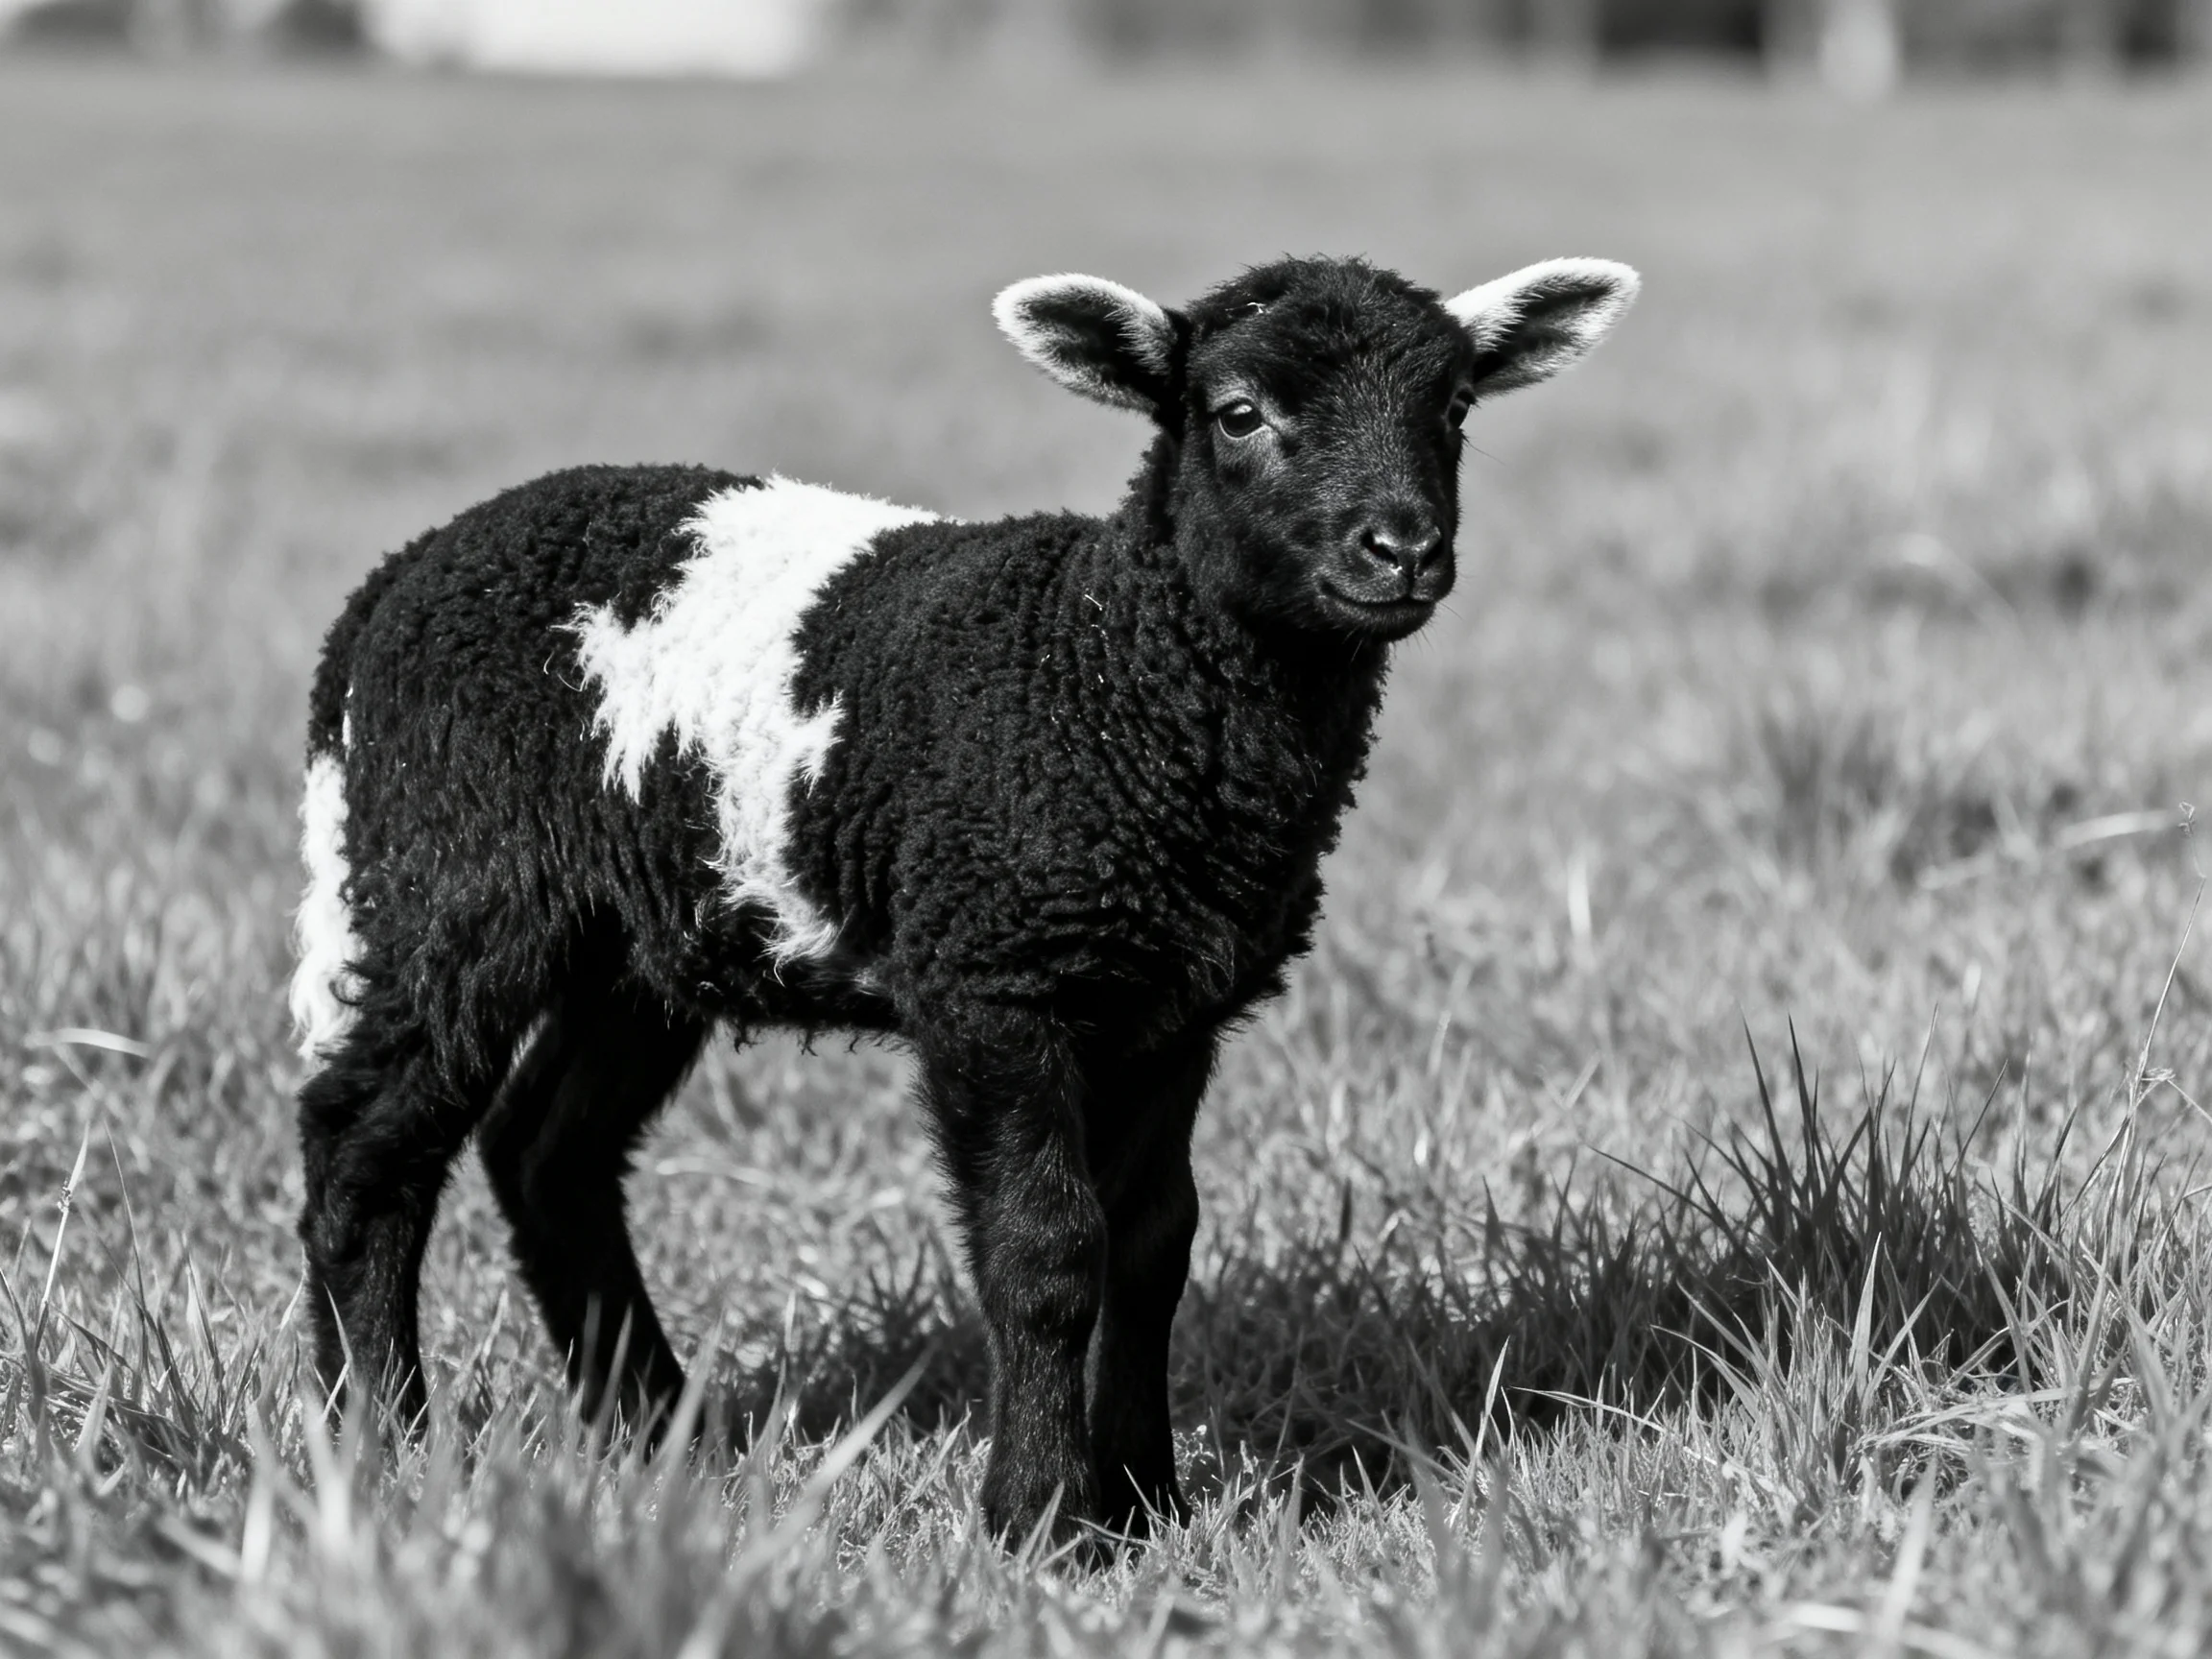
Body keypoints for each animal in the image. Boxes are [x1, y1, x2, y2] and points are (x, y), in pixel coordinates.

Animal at [291, 252, 1639, 1546]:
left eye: (1454, 410)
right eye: (1240, 414)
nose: (1400, 550)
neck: (1115, 672)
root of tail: (392, 585)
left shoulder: (1169, 1005)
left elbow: (1153, 1245)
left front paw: (1149, 1502)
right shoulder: (995, 979)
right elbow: (1048, 1253)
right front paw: (1043, 1518)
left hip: (644, 934)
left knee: (546, 1152)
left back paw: (666, 1436)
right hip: (448, 879)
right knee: (365, 1154)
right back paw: (382, 1443)